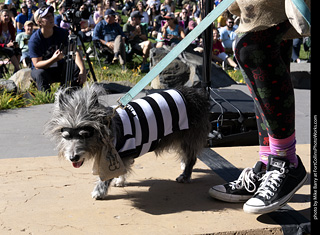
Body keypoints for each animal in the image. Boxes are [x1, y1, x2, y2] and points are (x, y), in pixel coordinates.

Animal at [45, 83, 210, 199]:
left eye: (85, 134)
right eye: (66, 136)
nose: (73, 157)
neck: (108, 128)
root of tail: (196, 94)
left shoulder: (115, 154)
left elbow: (106, 176)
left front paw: (99, 191)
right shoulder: (120, 155)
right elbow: (123, 168)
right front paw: (120, 180)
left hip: (188, 137)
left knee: (191, 157)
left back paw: (185, 175)